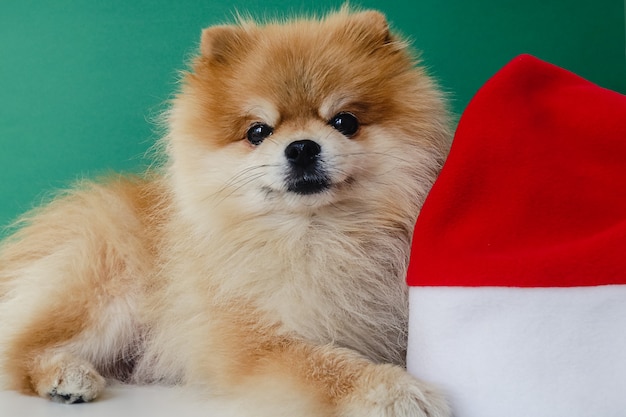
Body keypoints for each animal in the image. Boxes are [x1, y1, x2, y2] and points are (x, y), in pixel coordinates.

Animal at [0, 7, 448, 416]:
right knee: (19, 350)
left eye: (345, 121)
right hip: (108, 291)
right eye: (258, 131)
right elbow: (325, 365)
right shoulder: (252, 338)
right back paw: (67, 377)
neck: (316, 233)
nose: (302, 147)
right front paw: (395, 391)